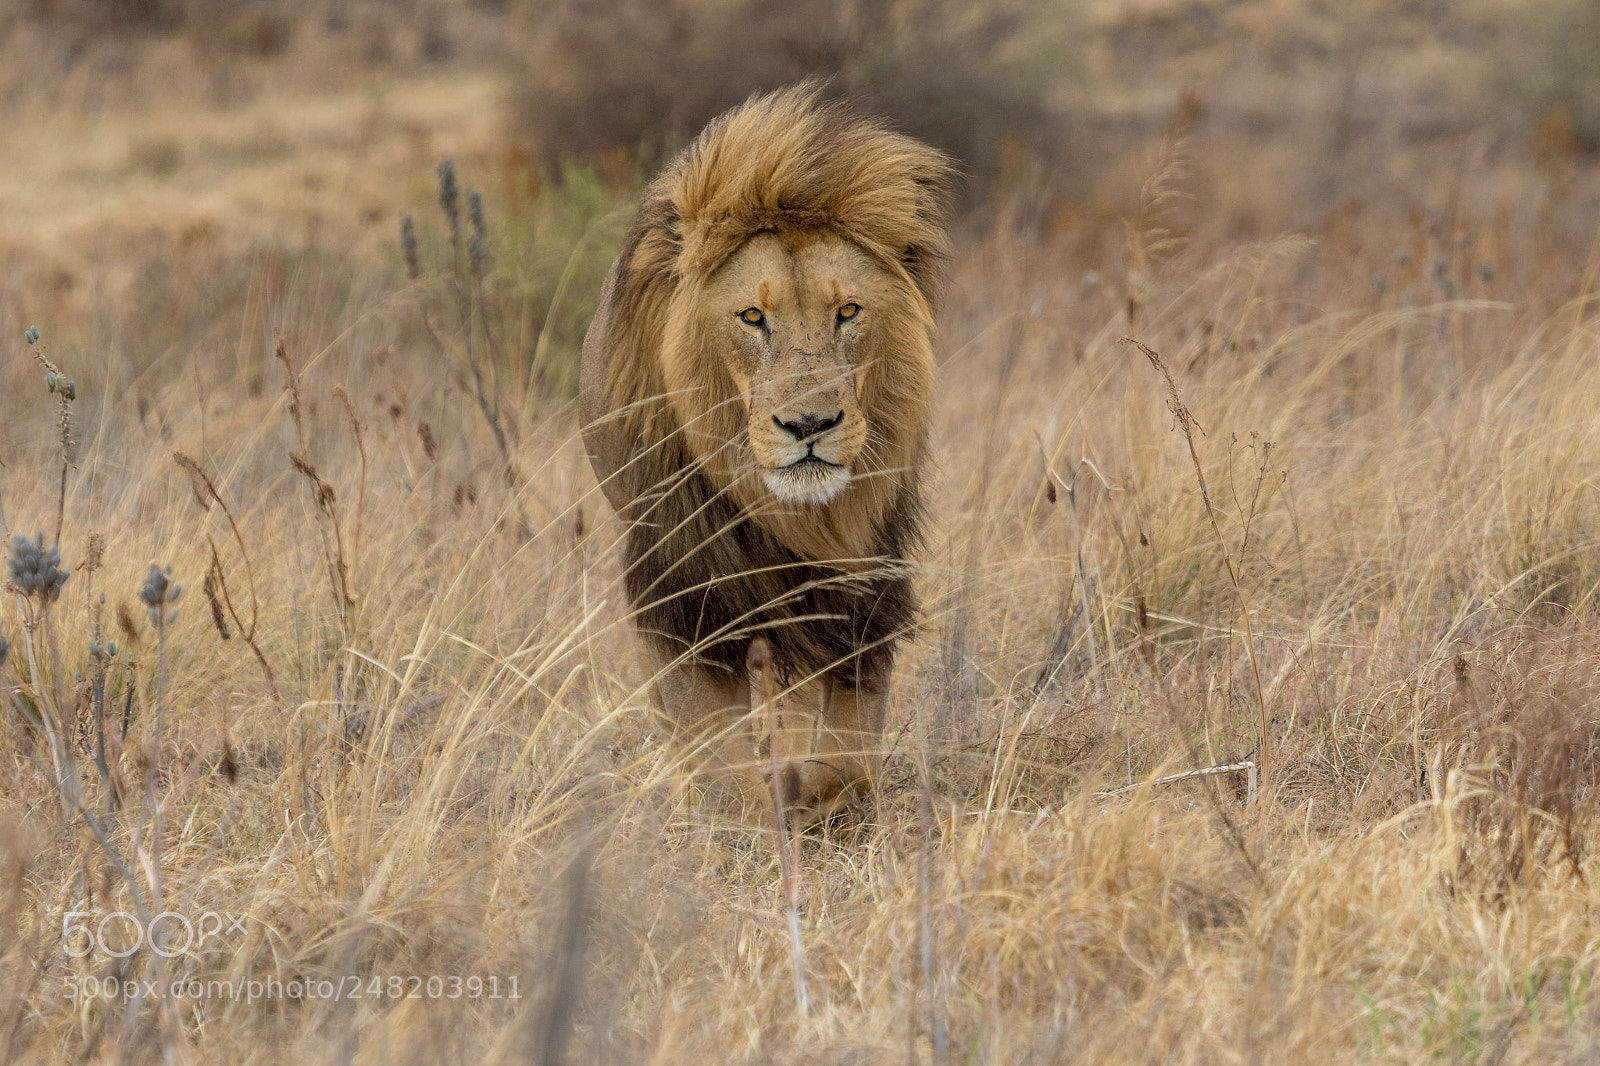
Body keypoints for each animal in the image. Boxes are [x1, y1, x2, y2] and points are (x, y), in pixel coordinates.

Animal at [579, 85, 953, 822]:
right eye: (753, 317)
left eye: (848, 312)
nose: (809, 423)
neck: (792, 517)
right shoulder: (681, 593)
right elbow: (721, 773)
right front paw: (753, 817)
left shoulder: (858, 594)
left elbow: (848, 756)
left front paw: (816, 799)